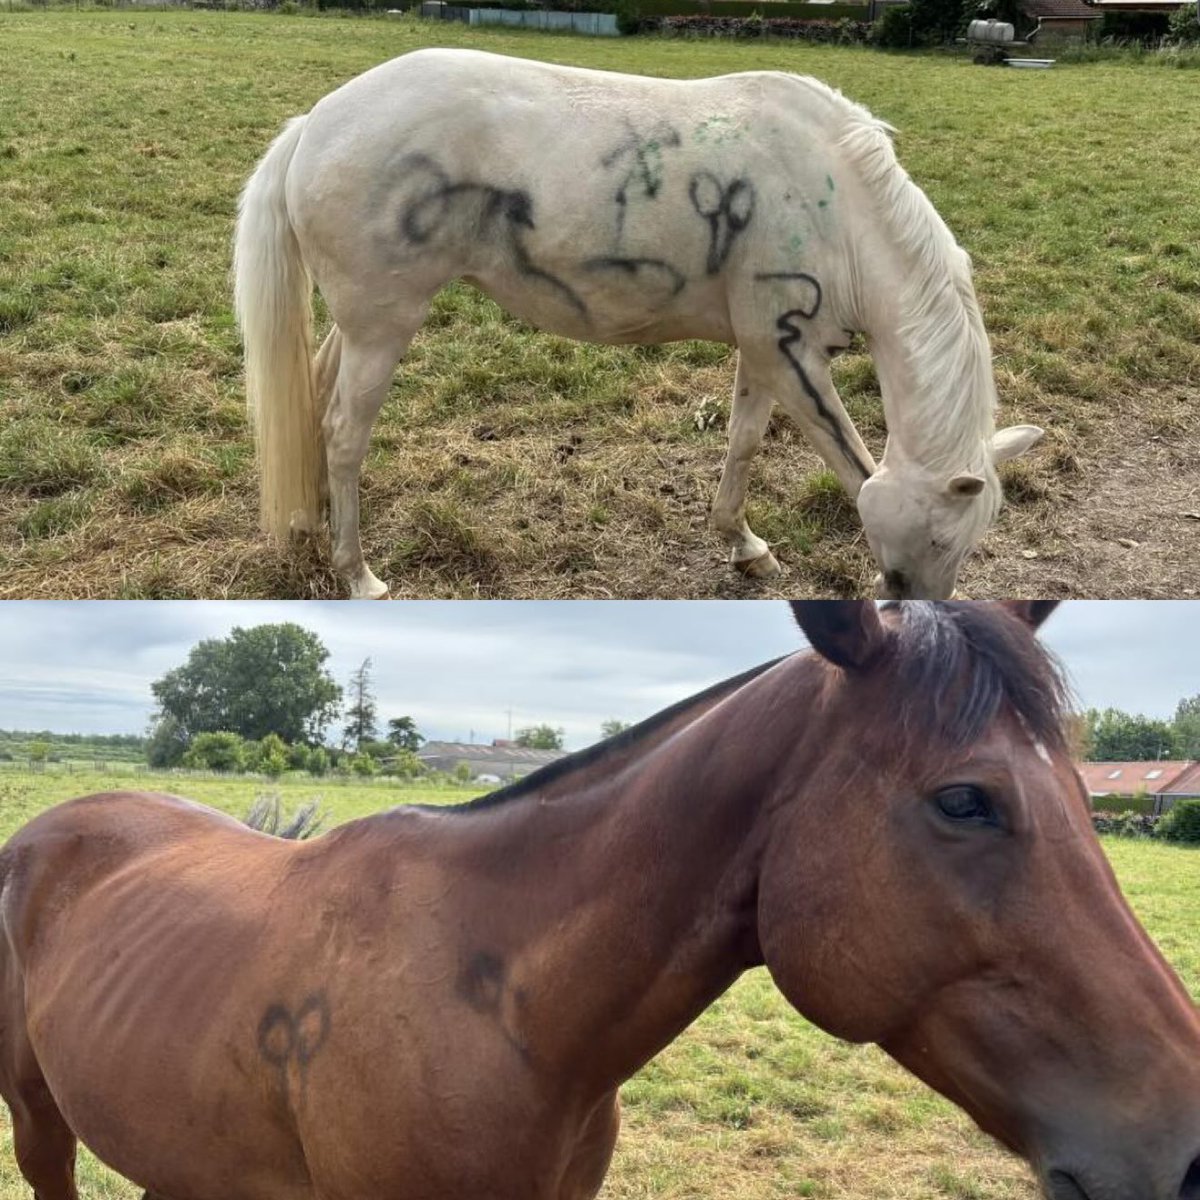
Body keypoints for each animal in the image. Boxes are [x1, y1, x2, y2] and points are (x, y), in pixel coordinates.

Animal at [233, 50, 1045, 600]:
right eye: (937, 536)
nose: (924, 609)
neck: (839, 207)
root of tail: (315, 125)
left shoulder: (767, 351)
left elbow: (744, 441)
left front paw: (743, 545)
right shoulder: (792, 359)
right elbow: (853, 467)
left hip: (359, 324)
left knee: (314, 398)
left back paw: (308, 526)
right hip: (383, 326)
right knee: (344, 431)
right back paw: (357, 573)